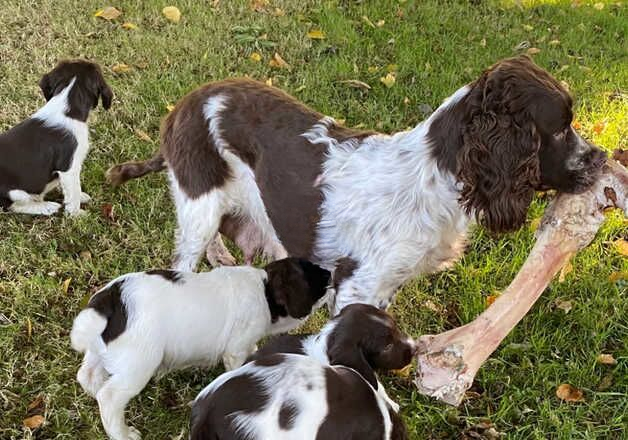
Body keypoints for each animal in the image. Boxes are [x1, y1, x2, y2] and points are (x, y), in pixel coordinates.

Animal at [0, 59, 111, 216]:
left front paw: (80, 197)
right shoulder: (69, 168)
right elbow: (74, 192)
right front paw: (77, 215)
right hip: (13, 192)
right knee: (13, 206)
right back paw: (46, 206)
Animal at [109, 56, 608, 312]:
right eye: (560, 128)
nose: (602, 159)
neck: (434, 175)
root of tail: (184, 104)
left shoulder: (383, 287)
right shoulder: (358, 282)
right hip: (199, 203)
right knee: (186, 258)